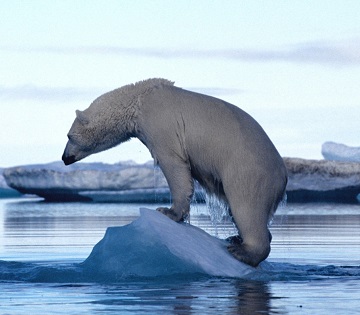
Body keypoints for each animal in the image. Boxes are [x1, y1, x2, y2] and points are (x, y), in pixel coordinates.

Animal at [62, 78, 286, 266]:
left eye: (69, 135)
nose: (65, 158)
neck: (139, 100)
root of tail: (283, 175)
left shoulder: (160, 123)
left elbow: (173, 163)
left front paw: (169, 212)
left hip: (248, 169)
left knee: (246, 206)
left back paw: (243, 251)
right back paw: (236, 238)